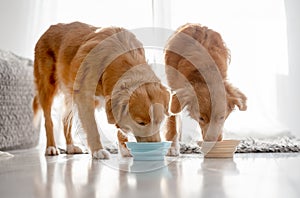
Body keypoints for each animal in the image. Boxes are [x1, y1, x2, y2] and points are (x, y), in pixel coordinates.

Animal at [33, 21, 170, 159]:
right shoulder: (84, 98)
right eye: (141, 123)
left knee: (65, 119)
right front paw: (98, 150)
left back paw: (71, 147)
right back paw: (51, 147)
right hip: (47, 87)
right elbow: (93, 127)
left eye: (160, 121)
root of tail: (51, 27)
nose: (157, 151)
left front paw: (125, 149)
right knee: (48, 121)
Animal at [164, 23, 246, 156]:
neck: (203, 72)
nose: (213, 142)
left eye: (222, 117)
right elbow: (172, 118)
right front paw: (172, 147)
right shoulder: (173, 88)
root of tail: (196, 24)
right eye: (201, 118)